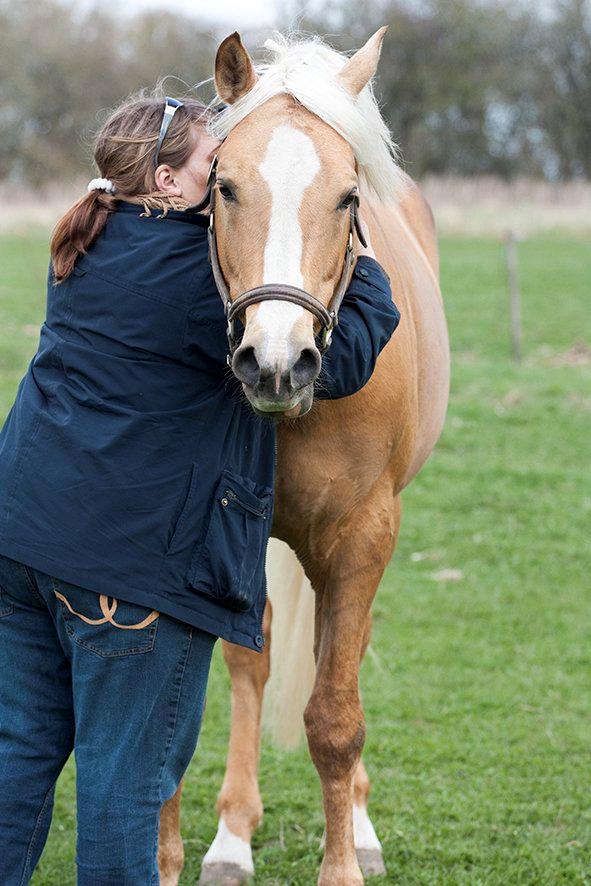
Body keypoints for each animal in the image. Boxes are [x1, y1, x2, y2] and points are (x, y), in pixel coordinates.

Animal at [157, 27, 448, 886]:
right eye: (223, 187)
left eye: (348, 198)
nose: (276, 362)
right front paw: (223, 839)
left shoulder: (362, 537)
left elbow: (335, 716)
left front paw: (344, 859)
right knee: (252, 667)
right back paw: (232, 836)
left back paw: (360, 824)